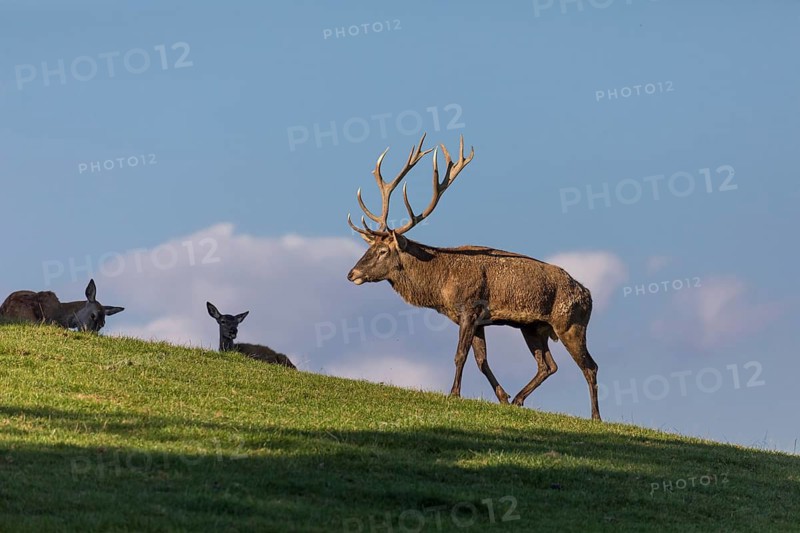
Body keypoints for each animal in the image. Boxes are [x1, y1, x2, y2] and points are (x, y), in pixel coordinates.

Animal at [346, 133, 601, 420]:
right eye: (369, 248)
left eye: (382, 251)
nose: (352, 273)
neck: (441, 285)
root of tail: (588, 294)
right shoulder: (479, 320)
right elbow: (481, 360)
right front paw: (502, 397)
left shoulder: (469, 307)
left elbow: (460, 354)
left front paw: (454, 393)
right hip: (533, 327)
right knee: (548, 365)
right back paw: (519, 399)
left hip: (570, 323)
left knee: (590, 366)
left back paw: (596, 417)